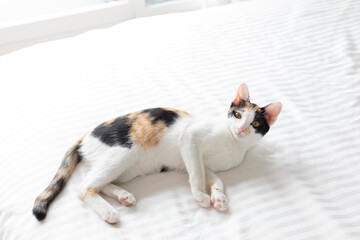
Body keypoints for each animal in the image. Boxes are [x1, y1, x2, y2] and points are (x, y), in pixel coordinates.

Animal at [32, 83, 282, 223]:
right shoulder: (190, 141)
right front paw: (201, 196)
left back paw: (123, 196)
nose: (241, 130)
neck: (233, 143)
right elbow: (196, 174)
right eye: (238, 115)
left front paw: (219, 198)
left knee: (100, 183)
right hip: (124, 152)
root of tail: (84, 137)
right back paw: (109, 212)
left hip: (125, 169)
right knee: (84, 187)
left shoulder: (205, 165)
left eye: (255, 124)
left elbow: (215, 179)